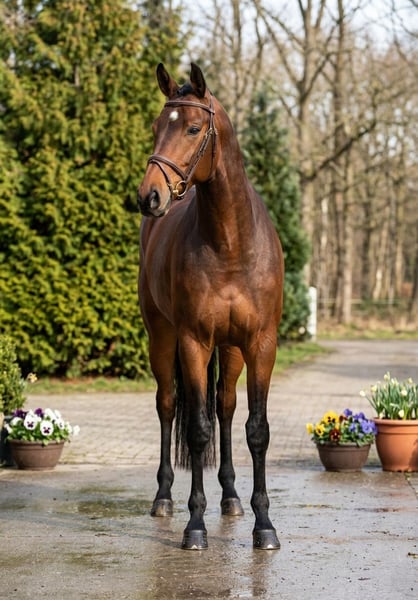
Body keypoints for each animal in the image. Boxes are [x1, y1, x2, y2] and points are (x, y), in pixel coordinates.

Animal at [137, 63, 284, 550]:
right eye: (156, 126)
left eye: (193, 128)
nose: (149, 197)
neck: (230, 244)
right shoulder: (193, 342)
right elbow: (198, 431)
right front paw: (195, 525)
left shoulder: (261, 344)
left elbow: (256, 430)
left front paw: (264, 525)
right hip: (162, 338)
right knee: (168, 406)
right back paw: (164, 498)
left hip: (232, 349)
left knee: (225, 406)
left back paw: (232, 497)